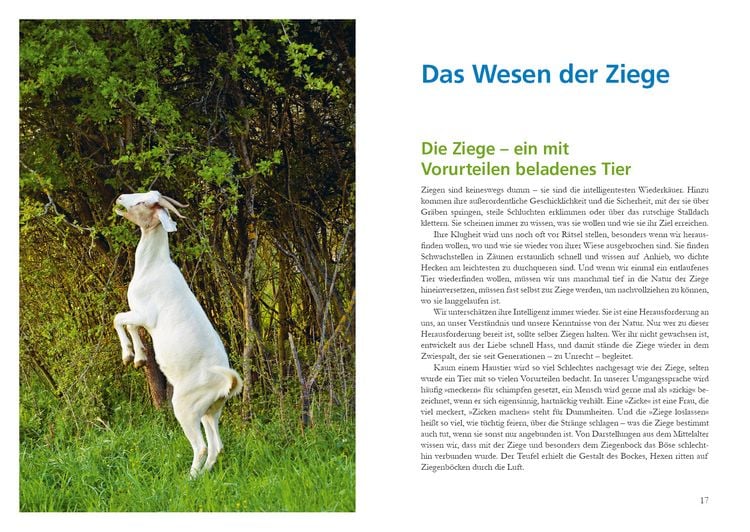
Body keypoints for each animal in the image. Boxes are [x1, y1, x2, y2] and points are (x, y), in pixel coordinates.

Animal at [113, 190, 242, 477]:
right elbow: (130, 325)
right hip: (210, 411)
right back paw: (204, 476)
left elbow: (119, 319)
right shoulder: (140, 316)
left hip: (185, 407)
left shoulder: (145, 315)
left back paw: (190, 479)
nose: (120, 198)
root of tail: (226, 385)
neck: (153, 267)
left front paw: (128, 356)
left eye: (143, 202)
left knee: (202, 446)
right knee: (216, 445)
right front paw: (139, 357)